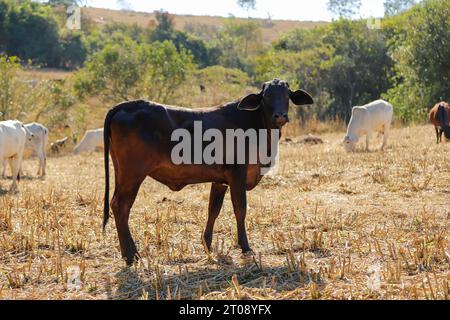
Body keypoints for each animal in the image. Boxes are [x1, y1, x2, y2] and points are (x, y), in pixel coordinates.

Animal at [103, 79, 312, 264]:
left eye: (287, 95)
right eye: (266, 96)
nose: (280, 116)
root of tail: (128, 105)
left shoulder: (220, 180)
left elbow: (213, 209)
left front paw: (207, 244)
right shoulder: (237, 174)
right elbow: (240, 209)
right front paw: (245, 247)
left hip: (121, 173)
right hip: (133, 175)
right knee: (121, 206)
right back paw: (131, 255)